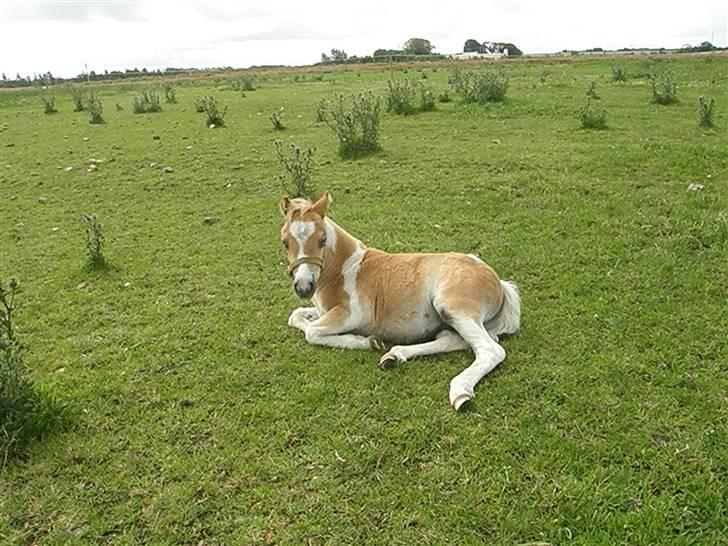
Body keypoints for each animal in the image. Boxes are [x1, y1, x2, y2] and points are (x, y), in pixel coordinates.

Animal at [280, 191, 524, 408]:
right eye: (285, 242)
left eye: (322, 240)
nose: (303, 287)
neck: (344, 269)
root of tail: (498, 282)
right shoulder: (323, 310)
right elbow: (296, 316)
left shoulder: (352, 314)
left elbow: (312, 332)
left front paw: (368, 341)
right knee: (454, 339)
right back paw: (394, 356)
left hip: (452, 307)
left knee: (491, 349)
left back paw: (460, 392)